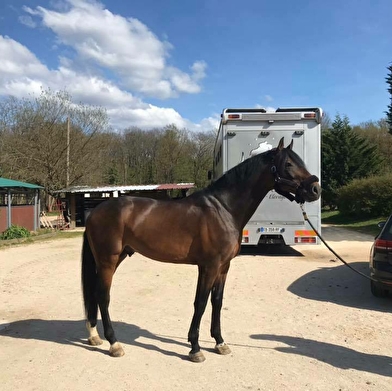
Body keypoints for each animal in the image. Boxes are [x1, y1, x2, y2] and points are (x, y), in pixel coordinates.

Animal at [81, 137, 320, 362]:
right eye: (288, 164)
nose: (315, 189)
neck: (224, 209)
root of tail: (96, 211)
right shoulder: (209, 266)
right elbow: (201, 302)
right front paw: (195, 348)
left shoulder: (223, 267)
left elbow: (217, 302)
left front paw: (220, 342)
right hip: (108, 260)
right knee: (103, 296)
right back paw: (114, 344)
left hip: (115, 258)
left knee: (95, 294)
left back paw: (94, 336)